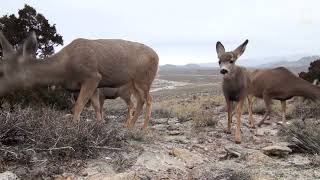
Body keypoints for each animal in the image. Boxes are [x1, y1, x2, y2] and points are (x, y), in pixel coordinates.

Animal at [0, 31, 159, 129]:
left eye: (2, 72)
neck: (64, 69)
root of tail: (157, 56)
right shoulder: (95, 86)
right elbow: (96, 107)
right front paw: (99, 126)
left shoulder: (92, 76)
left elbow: (78, 106)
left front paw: (74, 129)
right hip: (134, 82)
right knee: (141, 100)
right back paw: (131, 126)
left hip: (144, 79)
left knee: (148, 100)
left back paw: (143, 128)